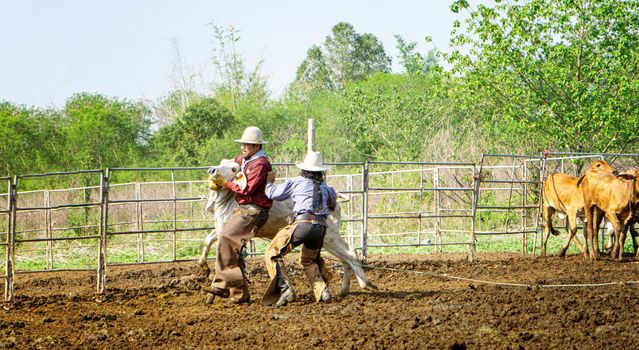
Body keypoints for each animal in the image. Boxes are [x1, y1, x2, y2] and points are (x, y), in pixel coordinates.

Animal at [200, 160, 378, 296]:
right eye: (222, 162)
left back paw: (366, 284)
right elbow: (208, 239)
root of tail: (333, 196)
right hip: (327, 240)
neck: (230, 200)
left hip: (330, 236)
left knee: (350, 253)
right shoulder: (221, 228)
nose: (212, 170)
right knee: (345, 258)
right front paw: (203, 267)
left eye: (233, 169)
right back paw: (344, 290)